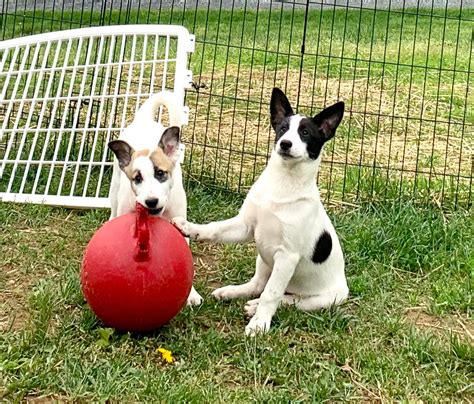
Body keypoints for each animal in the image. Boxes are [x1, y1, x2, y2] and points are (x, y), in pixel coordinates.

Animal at [108, 92, 203, 306]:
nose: (151, 201)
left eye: (160, 173)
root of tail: (144, 119)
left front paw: (191, 294)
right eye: (137, 178)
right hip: (115, 190)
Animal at [173, 87, 348, 334]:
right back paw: (231, 292)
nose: (285, 144)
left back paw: (255, 307)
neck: (283, 182)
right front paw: (190, 228)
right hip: (263, 258)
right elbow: (215, 229)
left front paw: (258, 324)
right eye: (282, 128)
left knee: (288, 299)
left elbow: (271, 295)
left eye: (305, 133)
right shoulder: (246, 226)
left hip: (321, 298)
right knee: (257, 285)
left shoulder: (287, 257)